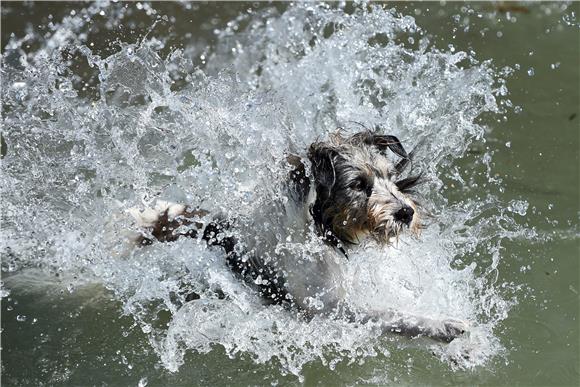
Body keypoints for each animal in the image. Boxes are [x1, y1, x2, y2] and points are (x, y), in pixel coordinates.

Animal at [125, 130, 466, 342]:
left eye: (391, 177)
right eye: (358, 183)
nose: (406, 212)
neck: (317, 232)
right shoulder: (330, 308)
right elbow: (394, 316)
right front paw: (444, 326)